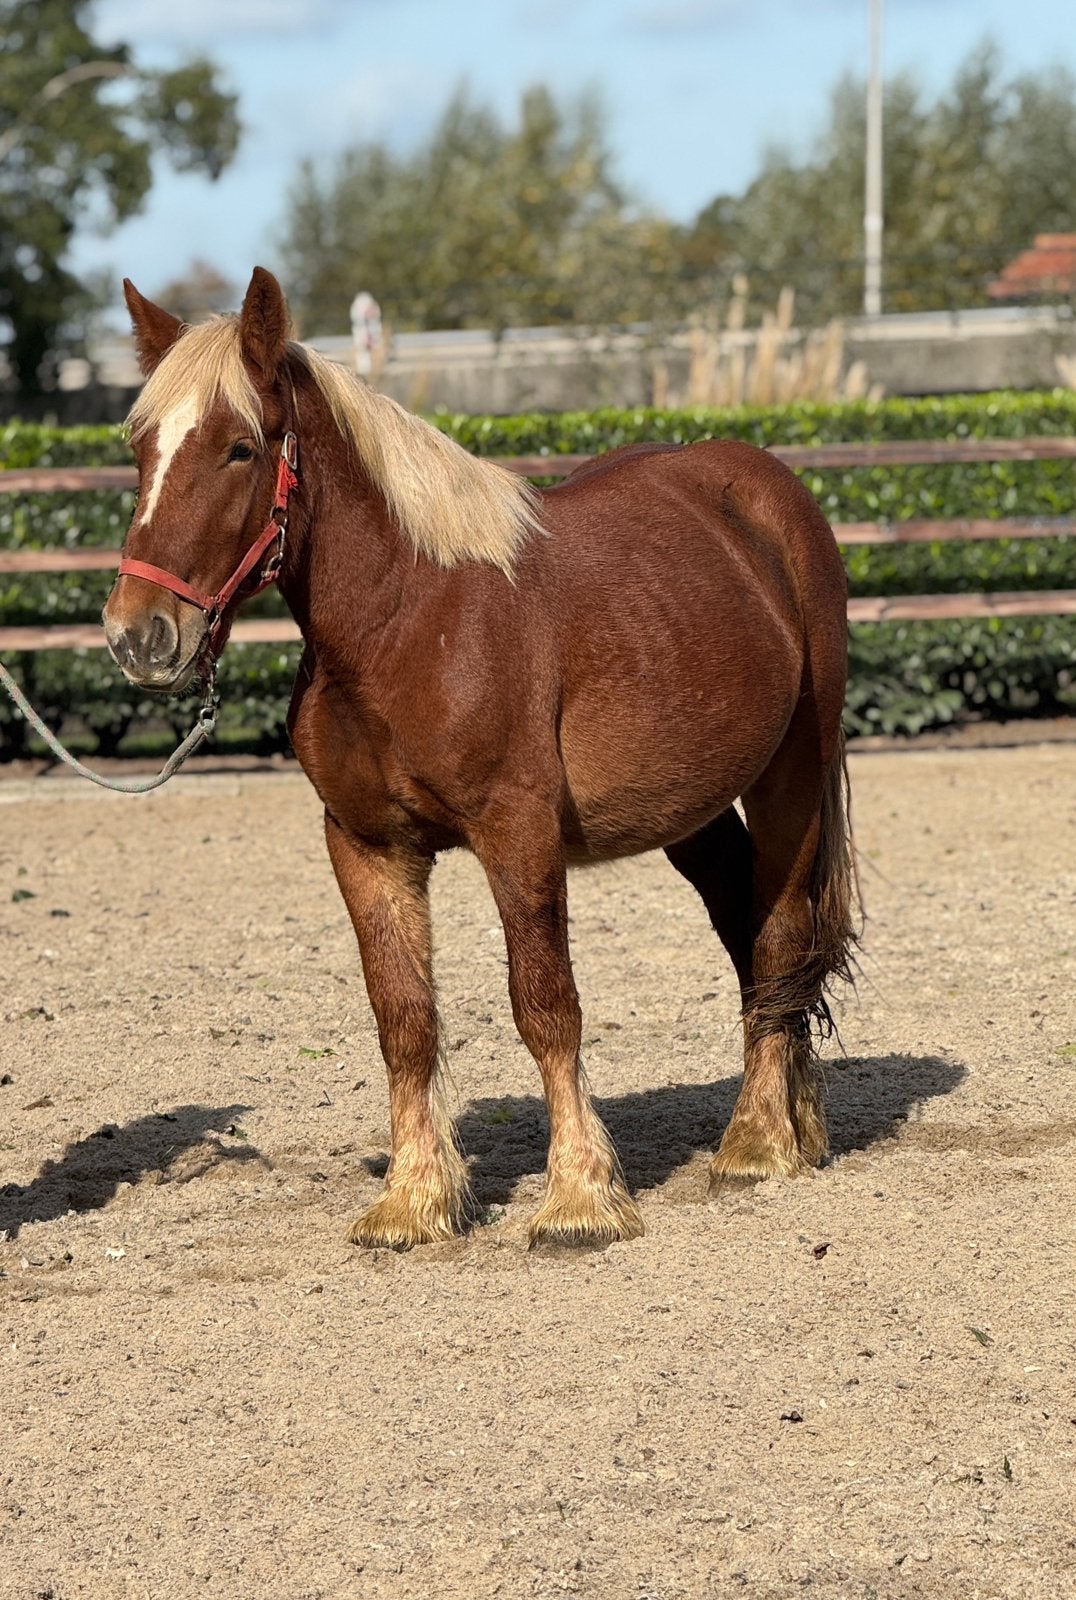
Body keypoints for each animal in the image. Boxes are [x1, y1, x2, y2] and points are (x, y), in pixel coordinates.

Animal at [103, 267, 859, 1251]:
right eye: (140, 446)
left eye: (239, 448)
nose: (139, 635)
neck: (410, 622)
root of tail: (769, 494)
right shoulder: (367, 847)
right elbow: (405, 1019)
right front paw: (414, 1201)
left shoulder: (518, 833)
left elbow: (545, 1005)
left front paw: (578, 1198)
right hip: (689, 811)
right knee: (751, 937)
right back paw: (795, 1124)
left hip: (790, 781)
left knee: (779, 935)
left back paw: (758, 1144)